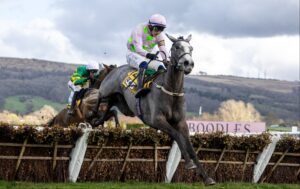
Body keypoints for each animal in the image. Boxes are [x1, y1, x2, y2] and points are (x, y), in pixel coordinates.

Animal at [94, 33, 216, 185]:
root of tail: (114, 69)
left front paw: (207, 178)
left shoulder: (181, 122)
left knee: (106, 113)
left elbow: (190, 146)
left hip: (123, 106)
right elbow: (176, 135)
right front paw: (188, 163)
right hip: (106, 91)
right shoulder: (156, 120)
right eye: (177, 47)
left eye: (191, 48)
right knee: (99, 100)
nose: (188, 63)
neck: (171, 90)